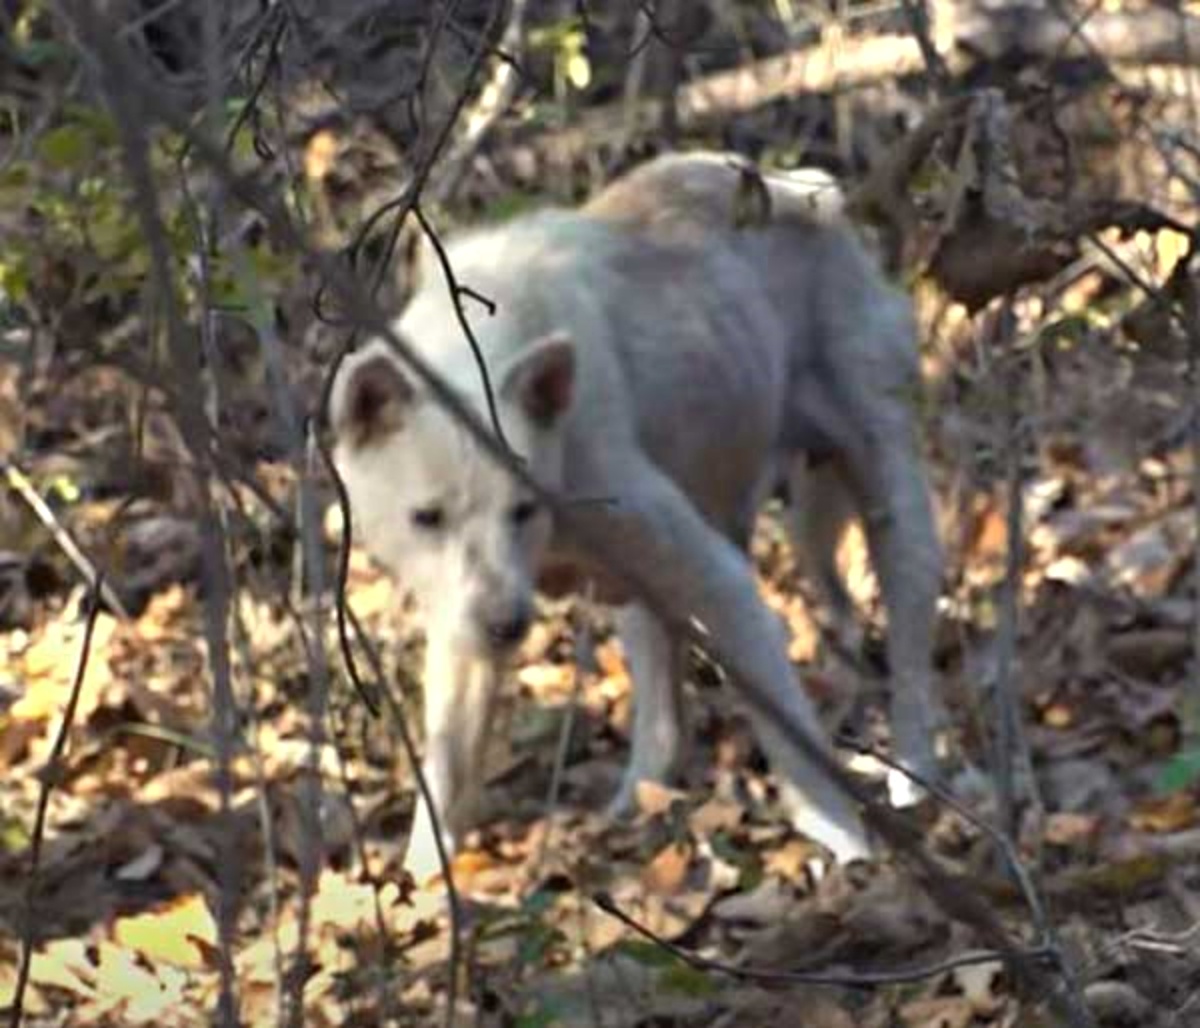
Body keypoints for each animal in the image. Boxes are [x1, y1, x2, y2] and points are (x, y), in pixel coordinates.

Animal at [331, 150, 945, 873]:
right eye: (427, 518)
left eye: (523, 509)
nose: (509, 628)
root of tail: (810, 188)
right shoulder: (464, 624)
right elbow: (447, 773)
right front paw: (424, 884)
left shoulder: (720, 580)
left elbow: (793, 743)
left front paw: (845, 844)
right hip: (663, 576)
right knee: (665, 721)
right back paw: (635, 806)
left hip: (885, 499)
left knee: (909, 652)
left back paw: (914, 777)